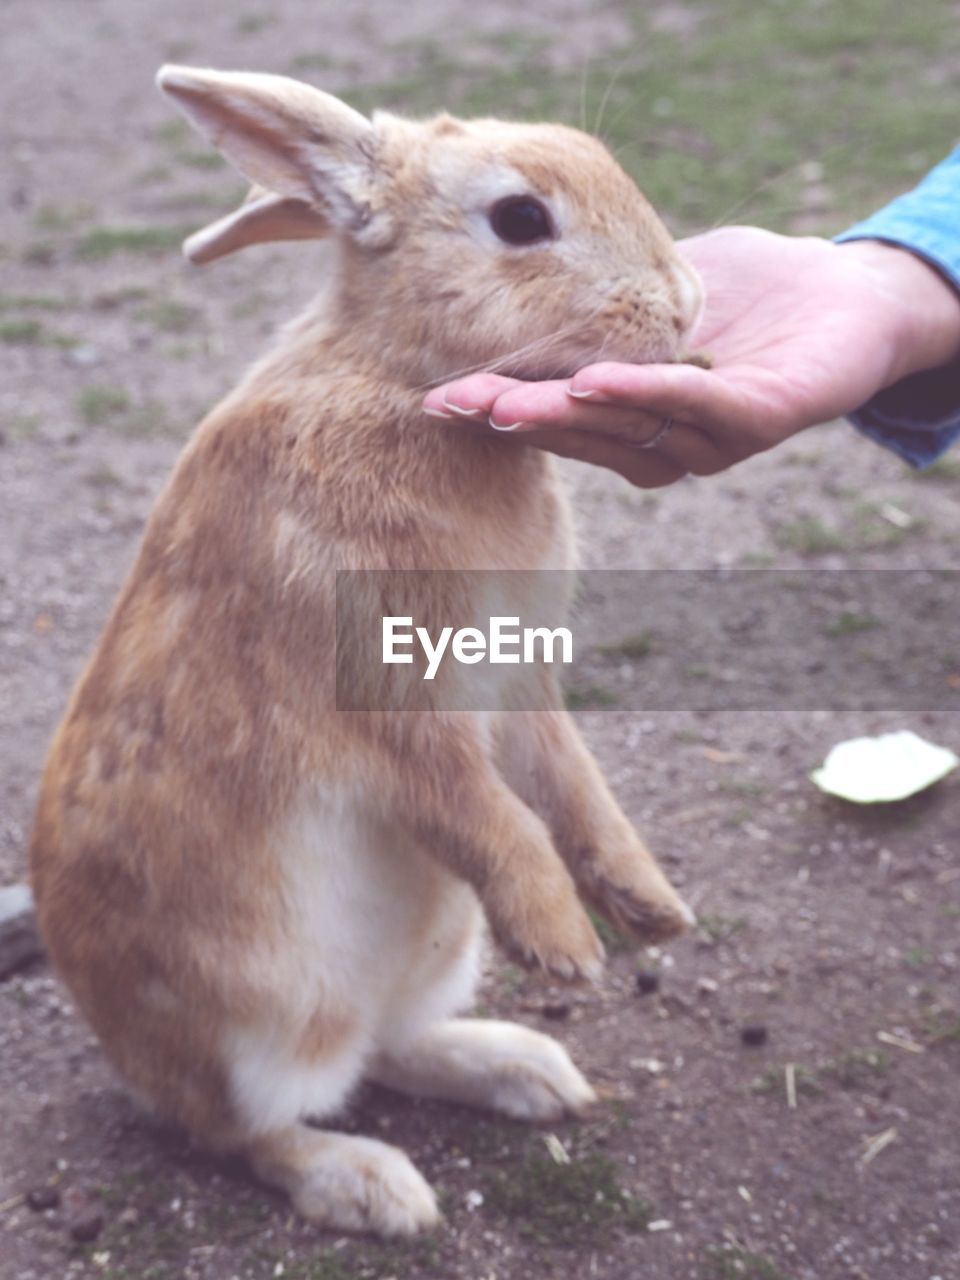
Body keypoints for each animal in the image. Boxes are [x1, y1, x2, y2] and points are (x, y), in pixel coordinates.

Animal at [32, 70, 701, 1239]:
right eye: (520, 218)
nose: (683, 304)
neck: (401, 379)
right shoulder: (393, 705)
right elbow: (485, 811)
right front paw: (565, 941)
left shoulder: (518, 684)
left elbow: (571, 786)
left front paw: (648, 907)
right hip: (254, 1019)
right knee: (240, 1128)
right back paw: (373, 1185)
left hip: (430, 953)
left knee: (388, 1046)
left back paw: (527, 1071)